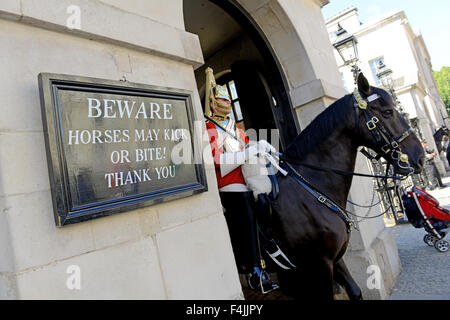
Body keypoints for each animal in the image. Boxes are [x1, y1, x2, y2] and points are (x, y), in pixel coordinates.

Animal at [268, 73, 426, 300]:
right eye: (387, 112)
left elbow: (355, 291)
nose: (420, 157)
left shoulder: (335, 259)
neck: (311, 186)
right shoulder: (319, 265)